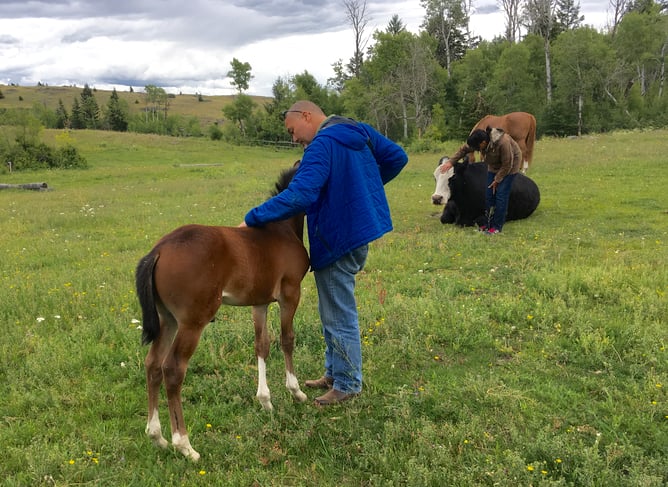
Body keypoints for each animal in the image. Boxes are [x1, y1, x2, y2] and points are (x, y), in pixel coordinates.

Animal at [136, 164, 314, 462]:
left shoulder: (260, 302)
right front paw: (296, 392)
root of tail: (158, 251)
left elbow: (261, 345)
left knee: (152, 365)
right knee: (172, 369)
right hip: (193, 321)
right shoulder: (290, 293)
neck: (281, 229)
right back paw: (184, 445)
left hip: (167, 319)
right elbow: (287, 339)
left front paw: (265, 401)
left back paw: (157, 436)